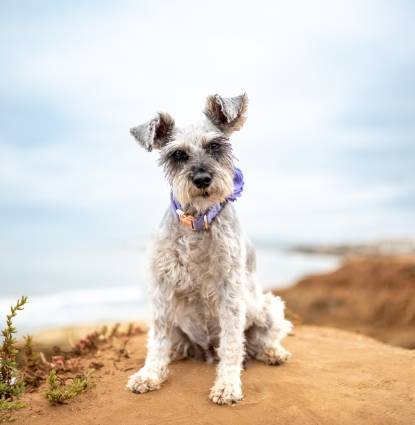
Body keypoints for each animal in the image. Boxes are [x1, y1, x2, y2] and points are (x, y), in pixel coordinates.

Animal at [127, 93, 292, 404]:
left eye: (215, 145)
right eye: (178, 154)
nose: (202, 179)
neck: (197, 221)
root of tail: (205, 353)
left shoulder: (230, 289)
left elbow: (232, 342)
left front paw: (227, 385)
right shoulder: (162, 288)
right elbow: (157, 339)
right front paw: (149, 374)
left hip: (267, 306)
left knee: (263, 337)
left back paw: (272, 352)